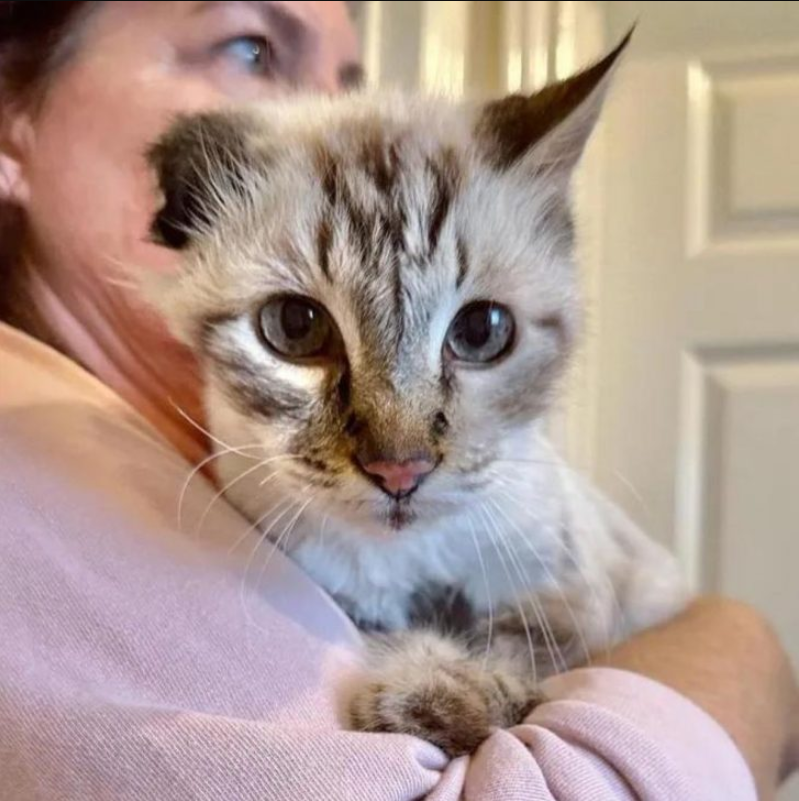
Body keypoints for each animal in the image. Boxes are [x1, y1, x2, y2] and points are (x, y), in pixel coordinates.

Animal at [142, 31, 688, 756]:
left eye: (481, 332)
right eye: (296, 327)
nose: (399, 469)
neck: (406, 565)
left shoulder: (590, 594)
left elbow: (515, 642)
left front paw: (437, 693)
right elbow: (389, 627)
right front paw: (424, 676)